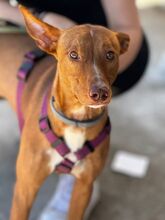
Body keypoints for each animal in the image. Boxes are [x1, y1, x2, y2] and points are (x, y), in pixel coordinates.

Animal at [0, 6, 130, 220]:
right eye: (73, 55)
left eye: (110, 55)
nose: (100, 93)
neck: (76, 122)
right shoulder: (25, 189)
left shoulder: (83, 187)